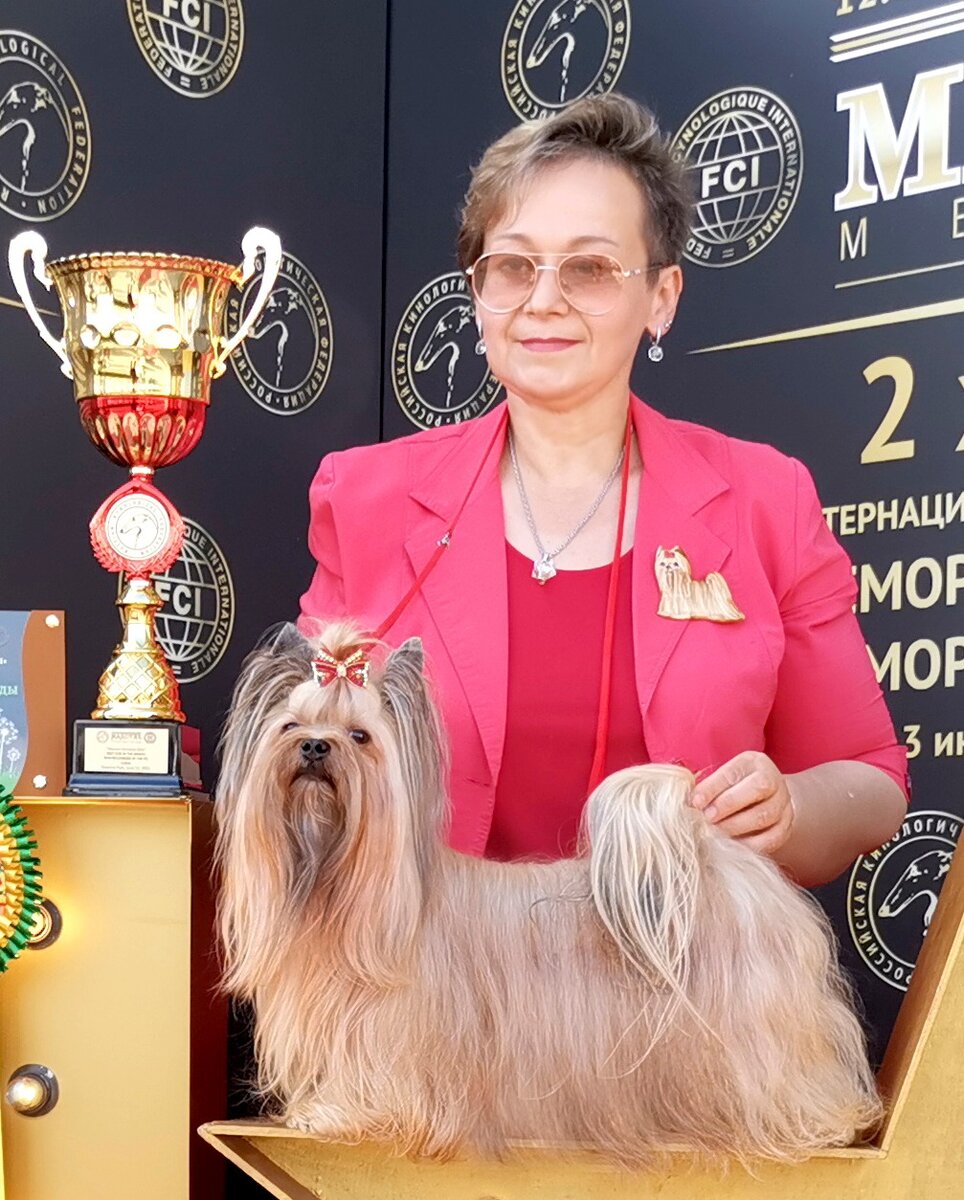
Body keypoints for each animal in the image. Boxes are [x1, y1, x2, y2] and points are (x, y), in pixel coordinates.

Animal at [217, 624, 883, 1166]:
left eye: (360, 736)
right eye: (290, 725)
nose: (315, 746)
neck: (332, 877)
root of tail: (711, 851)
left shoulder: (393, 1039)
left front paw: (340, 1111)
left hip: (756, 1025)